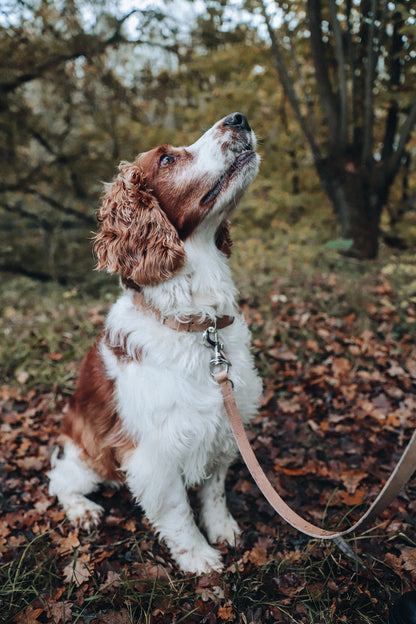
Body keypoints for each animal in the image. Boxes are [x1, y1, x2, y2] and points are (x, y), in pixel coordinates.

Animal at [48, 113, 262, 576]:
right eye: (166, 159)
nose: (239, 118)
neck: (197, 324)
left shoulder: (221, 426)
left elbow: (214, 491)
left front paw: (223, 529)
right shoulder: (153, 454)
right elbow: (178, 512)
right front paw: (199, 557)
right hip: (87, 453)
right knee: (60, 480)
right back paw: (83, 511)